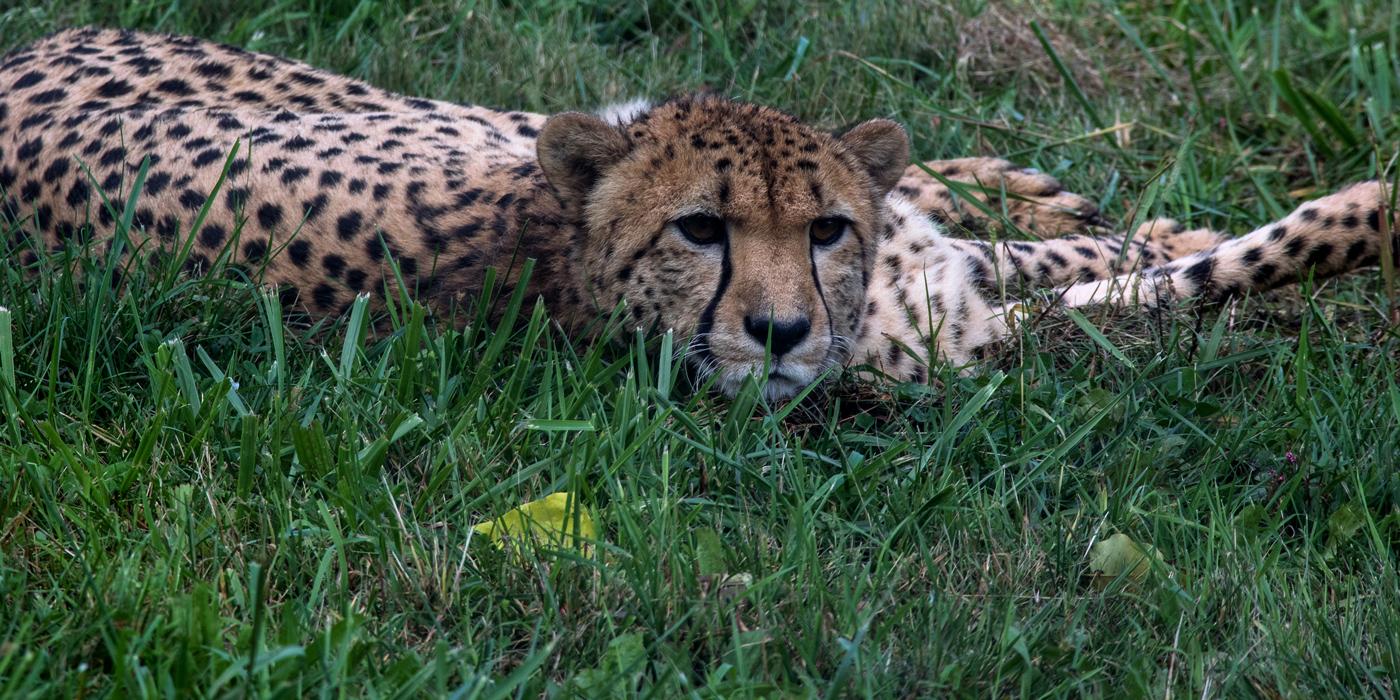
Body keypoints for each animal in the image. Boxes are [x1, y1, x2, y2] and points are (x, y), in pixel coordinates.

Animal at [0, 28, 1394, 400]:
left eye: (818, 229)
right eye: (697, 231)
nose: (774, 335)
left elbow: (1073, 250)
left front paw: (1142, 225)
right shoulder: (976, 344)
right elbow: (1186, 286)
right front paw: (1360, 209)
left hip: (467, 105)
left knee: (931, 172)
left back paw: (1016, 172)